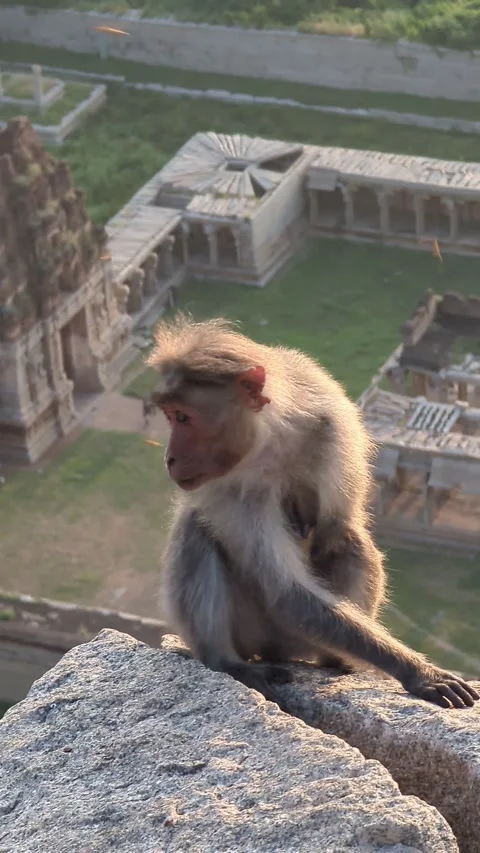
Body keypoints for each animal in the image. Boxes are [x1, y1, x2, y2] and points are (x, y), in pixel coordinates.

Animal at [147, 314, 479, 711]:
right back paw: (225, 661)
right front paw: (417, 671)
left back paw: (335, 661)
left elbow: (336, 527)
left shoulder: (335, 428)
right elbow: (287, 593)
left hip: (299, 642)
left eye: (182, 417)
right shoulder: (233, 491)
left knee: (348, 539)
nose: (169, 458)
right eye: (170, 417)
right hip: (256, 633)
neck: (270, 439)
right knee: (196, 528)